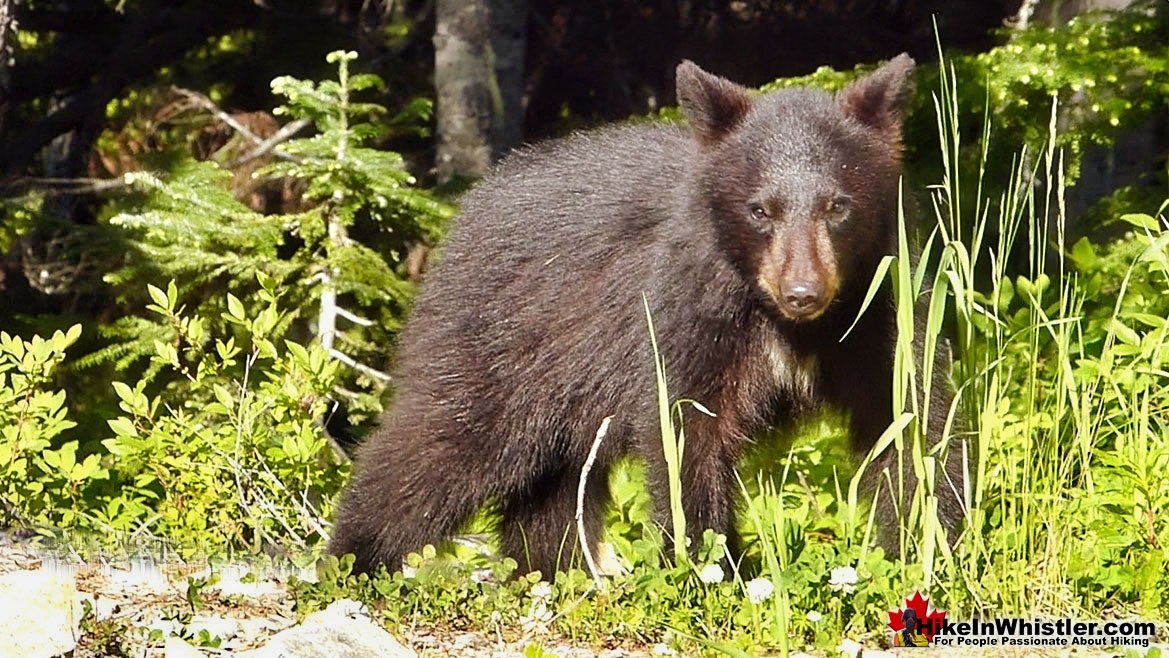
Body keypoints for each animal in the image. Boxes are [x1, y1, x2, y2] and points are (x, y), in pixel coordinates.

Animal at [331, 55, 967, 577]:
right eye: (760, 209)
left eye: (837, 206)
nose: (803, 291)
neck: (791, 326)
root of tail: (467, 206)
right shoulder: (686, 312)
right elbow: (686, 429)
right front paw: (713, 568)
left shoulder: (878, 311)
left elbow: (912, 422)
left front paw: (928, 552)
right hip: (499, 340)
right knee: (444, 439)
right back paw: (355, 558)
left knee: (557, 480)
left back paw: (554, 568)